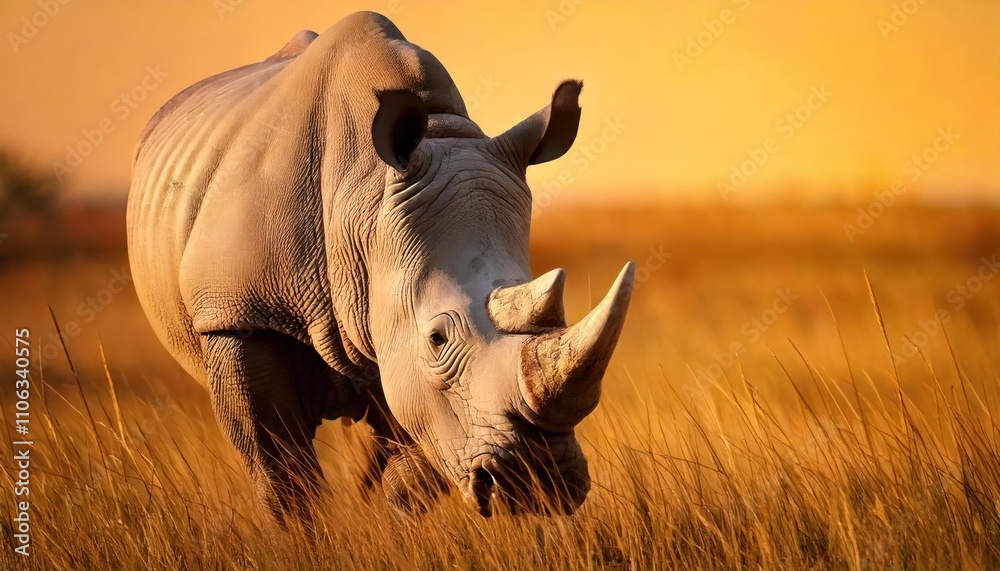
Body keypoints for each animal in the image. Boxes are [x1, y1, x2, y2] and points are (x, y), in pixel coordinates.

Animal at [127, 11, 634, 522]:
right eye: (437, 339)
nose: (541, 484)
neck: (362, 200)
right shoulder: (236, 313)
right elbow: (282, 477)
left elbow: (411, 478)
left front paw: (393, 528)